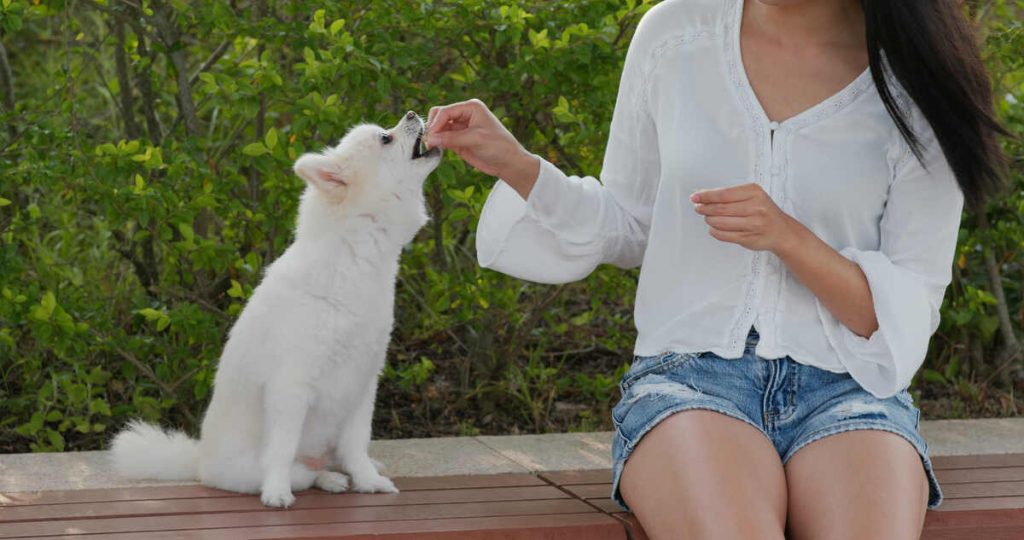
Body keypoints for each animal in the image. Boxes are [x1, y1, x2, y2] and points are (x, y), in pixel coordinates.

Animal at [110, 112, 442, 510]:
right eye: (385, 139)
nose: (412, 114)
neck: (354, 257)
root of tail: (200, 463)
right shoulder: (292, 387)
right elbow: (282, 448)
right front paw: (276, 492)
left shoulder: (362, 384)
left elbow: (357, 445)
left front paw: (368, 481)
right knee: (303, 472)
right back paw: (321, 479)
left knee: (332, 459)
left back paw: (340, 474)